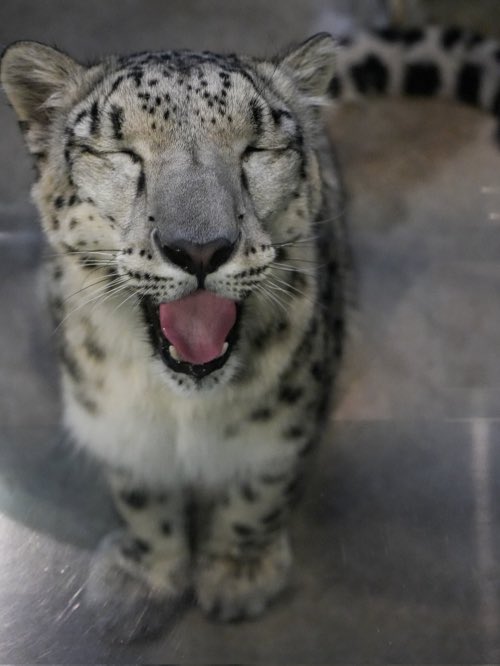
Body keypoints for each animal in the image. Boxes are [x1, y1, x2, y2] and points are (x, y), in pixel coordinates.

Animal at [2, 24, 499, 640]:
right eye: (123, 153)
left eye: (256, 150)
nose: (199, 248)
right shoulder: (115, 420)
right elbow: (140, 495)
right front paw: (143, 579)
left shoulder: (285, 423)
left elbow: (259, 492)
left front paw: (238, 574)